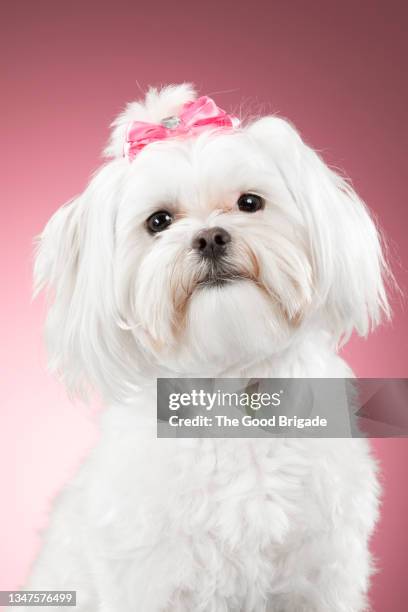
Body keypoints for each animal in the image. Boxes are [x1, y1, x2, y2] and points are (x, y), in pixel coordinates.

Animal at [24, 82, 388, 612]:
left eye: (250, 202)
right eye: (158, 221)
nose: (211, 237)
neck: (230, 391)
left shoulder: (321, 574)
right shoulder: (160, 581)